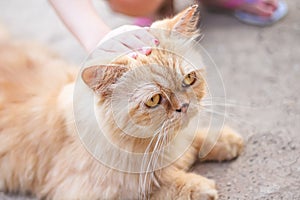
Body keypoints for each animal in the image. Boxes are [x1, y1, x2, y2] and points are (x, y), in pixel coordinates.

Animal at [0, 4, 244, 200]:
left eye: (189, 79)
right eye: (154, 99)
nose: (184, 106)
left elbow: (197, 140)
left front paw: (224, 140)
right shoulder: (85, 191)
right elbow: (157, 186)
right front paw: (197, 186)